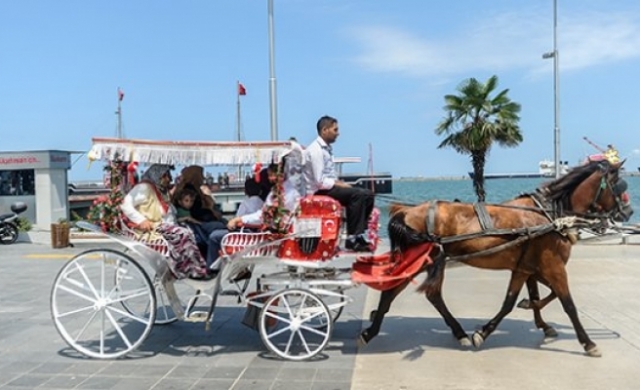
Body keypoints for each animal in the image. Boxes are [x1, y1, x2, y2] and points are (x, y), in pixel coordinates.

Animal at [360, 158, 632, 356]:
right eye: (621, 186)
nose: (628, 212)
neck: (550, 215)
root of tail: (404, 211)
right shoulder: (552, 266)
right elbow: (568, 304)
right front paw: (588, 343)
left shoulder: (526, 267)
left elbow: (516, 301)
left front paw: (528, 318)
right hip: (418, 261)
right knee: (392, 292)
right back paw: (370, 332)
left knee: (429, 294)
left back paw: (457, 333)